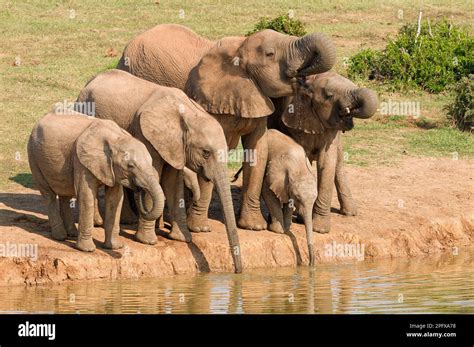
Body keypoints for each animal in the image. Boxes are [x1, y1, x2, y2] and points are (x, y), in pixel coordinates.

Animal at [28, 113, 165, 251]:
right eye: (130, 166)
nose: (139, 188)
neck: (117, 138)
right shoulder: (82, 161)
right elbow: (86, 196)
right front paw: (87, 250)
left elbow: (115, 199)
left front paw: (114, 247)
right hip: (33, 156)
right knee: (48, 195)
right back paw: (60, 236)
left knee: (65, 193)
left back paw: (71, 234)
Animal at [76, 69, 243, 274]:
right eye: (206, 152)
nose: (238, 272)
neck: (189, 113)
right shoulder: (147, 135)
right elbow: (155, 176)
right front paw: (147, 241)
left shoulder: (176, 146)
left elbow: (173, 184)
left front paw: (182, 238)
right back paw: (100, 223)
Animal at [116, 23, 336, 232]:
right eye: (270, 54)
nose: (304, 77)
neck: (240, 47)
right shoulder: (208, 101)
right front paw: (199, 228)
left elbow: (258, 151)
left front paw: (253, 226)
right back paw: (132, 219)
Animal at [262, 129, 316, 266]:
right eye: (298, 198)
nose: (310, 265)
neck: (299, 168)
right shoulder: (273, 173)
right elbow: (268, 193)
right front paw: (279, 230)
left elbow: (288, 203)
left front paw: (286, 228)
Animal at [268, 70, 380, 234]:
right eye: (329, 95)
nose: (349, 109)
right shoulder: (294, 119)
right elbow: (304, 157)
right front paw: (307, 220)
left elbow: (326, 163)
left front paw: (319, 229)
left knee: (338, 165)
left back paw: (350, 213)